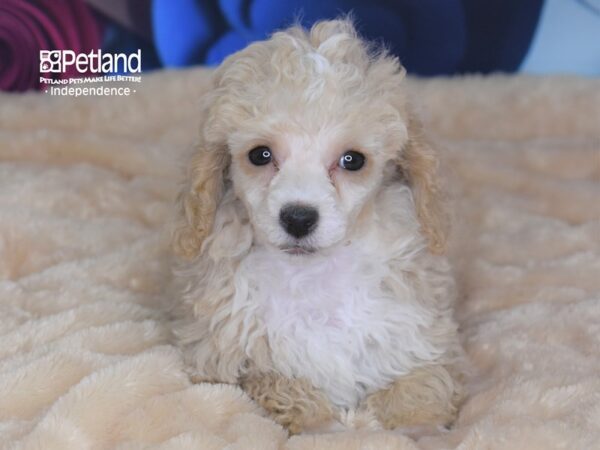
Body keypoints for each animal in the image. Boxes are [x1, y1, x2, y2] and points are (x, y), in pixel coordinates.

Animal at [171, 19, 466, 434]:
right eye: (260, 155)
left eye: (352, 160)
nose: (298, 217)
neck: (312, 273)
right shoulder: (221, 356)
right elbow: (276, 385)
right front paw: (326, 424)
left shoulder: (423, 339)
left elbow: (422, 388)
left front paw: (411, 426)